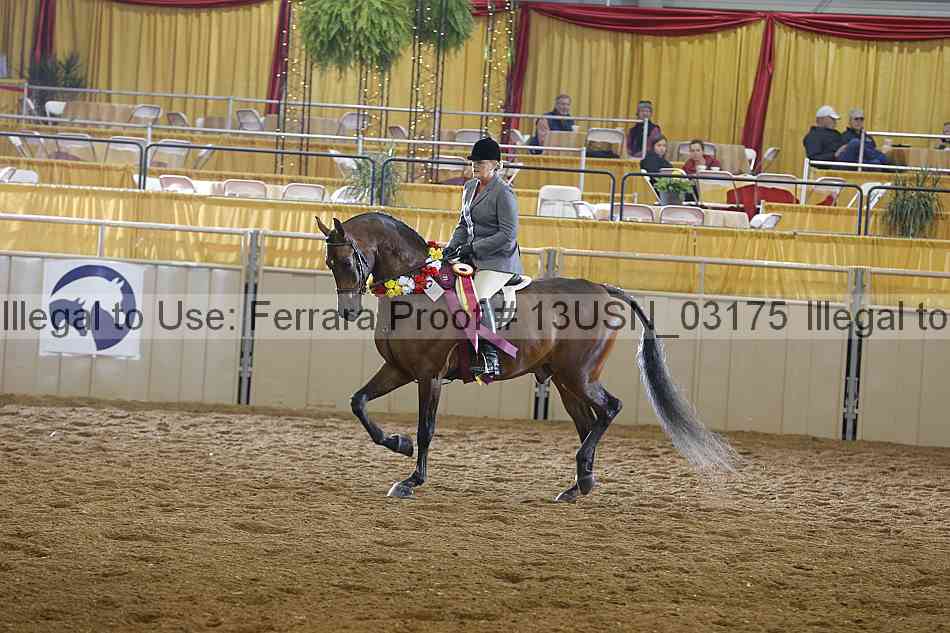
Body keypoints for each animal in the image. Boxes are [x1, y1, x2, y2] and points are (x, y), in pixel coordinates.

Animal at [314, 212, 736, 501]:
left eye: (347, 262)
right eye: (329, 265)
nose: (348, 312)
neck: (415, 289)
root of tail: (603, 287)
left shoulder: (428, 376)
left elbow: (426, 429)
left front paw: (411, 480)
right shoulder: (399, 369)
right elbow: (359, 403)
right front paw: (396, 443)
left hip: (579, 375)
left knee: (610, 409)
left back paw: (583, 479)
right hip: (565, 382)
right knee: (589, 422)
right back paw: (579, 484)